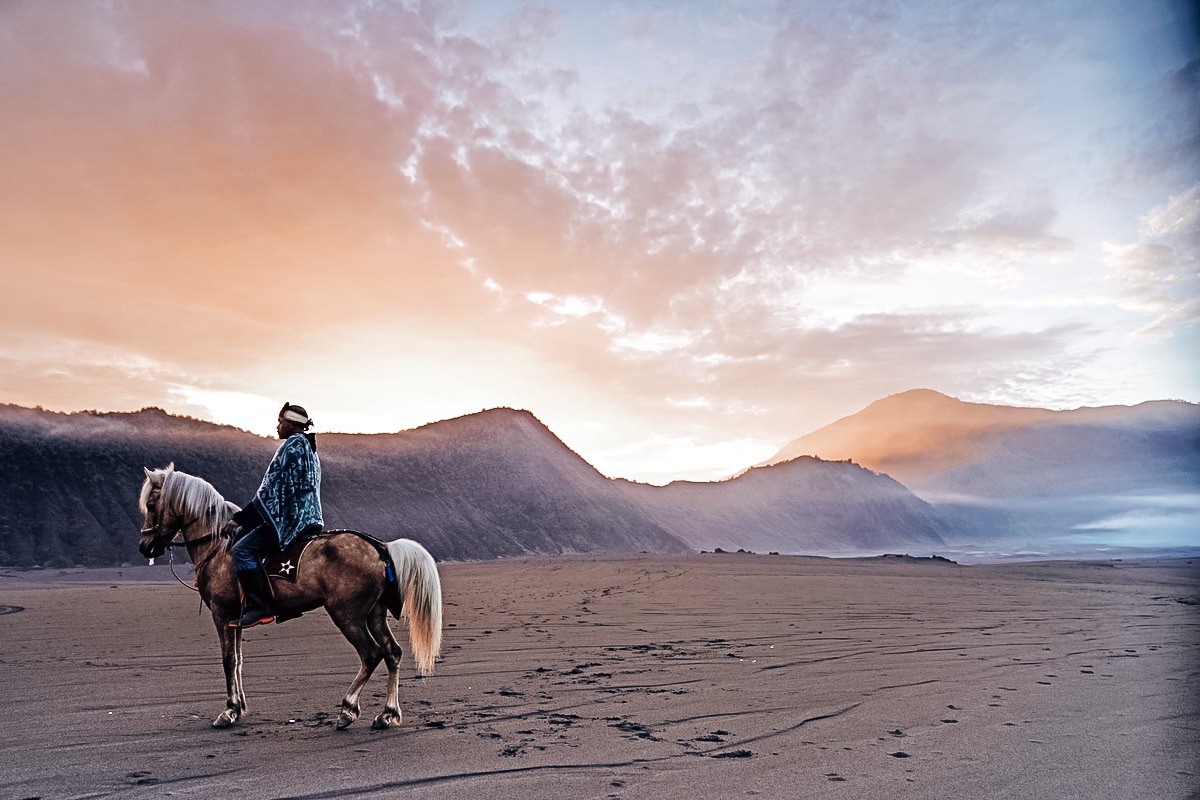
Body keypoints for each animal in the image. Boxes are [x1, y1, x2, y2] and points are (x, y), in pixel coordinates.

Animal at [136, 462, 444, 734]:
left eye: (151, 505)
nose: (144, 546)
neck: (218, 547)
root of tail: (380, 547)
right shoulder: (235, 619)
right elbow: (238, 660)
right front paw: (239, 707)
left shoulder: (221, 615)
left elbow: (227, 660)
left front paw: (229, 710)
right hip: (374, 614)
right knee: (392, 652)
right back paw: (387, 714)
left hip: (347, 614)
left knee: (371, 654)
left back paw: (348, 710)